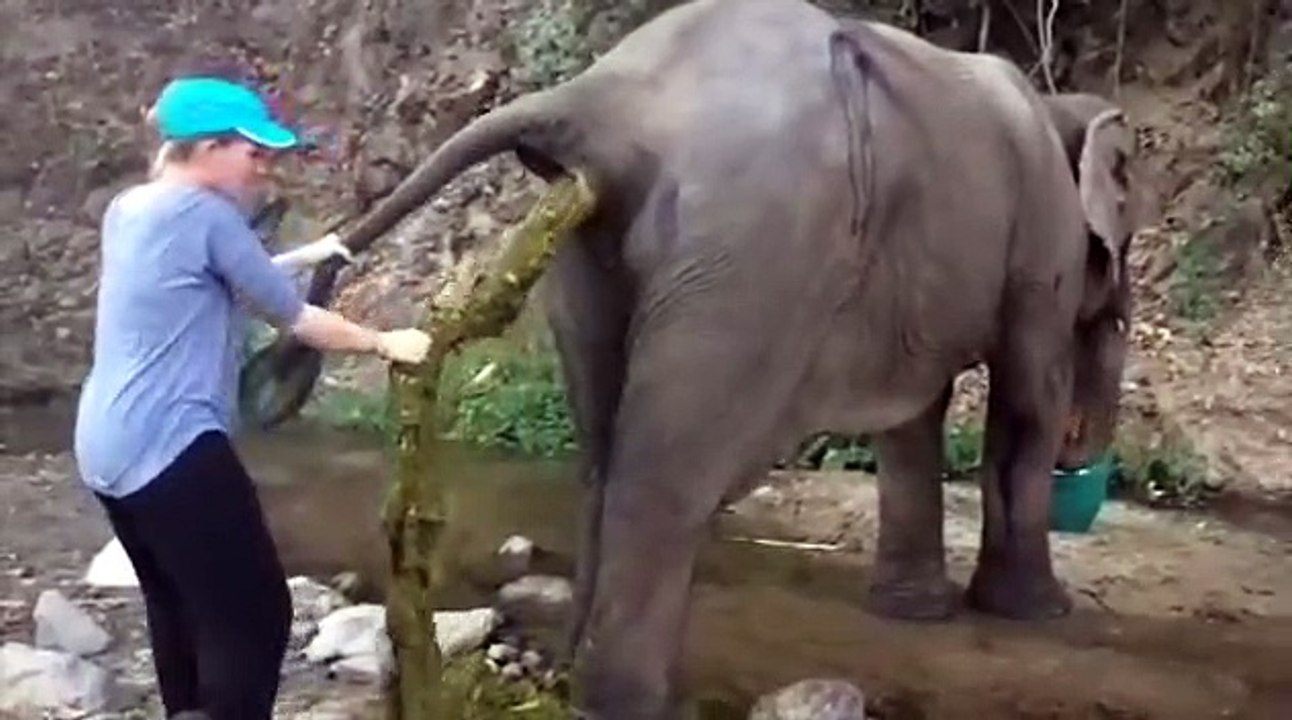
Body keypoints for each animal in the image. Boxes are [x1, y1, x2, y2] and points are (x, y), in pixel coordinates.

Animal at [318, 0, 1137, 716]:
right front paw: (1040, 613)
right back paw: (630, 704)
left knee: (605, 455)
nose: (1089, 465)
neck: (1055, 108)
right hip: (750, 247)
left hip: (598, 249)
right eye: (1121, 245)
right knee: (669, 473)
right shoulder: (1043, 238)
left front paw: (918, 613)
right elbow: (1027, 397)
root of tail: (606, 101)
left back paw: (574, 683)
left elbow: (913, 416)